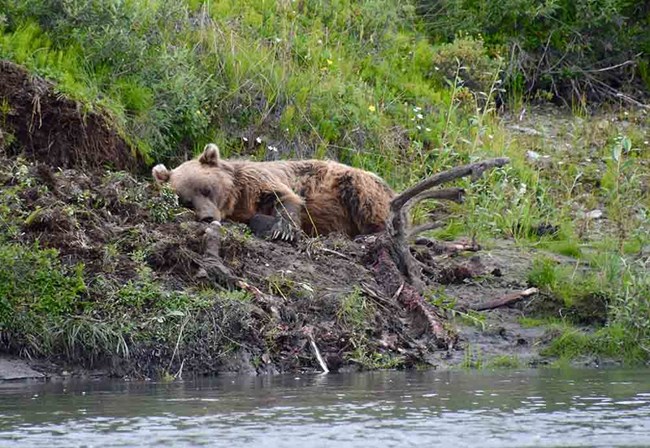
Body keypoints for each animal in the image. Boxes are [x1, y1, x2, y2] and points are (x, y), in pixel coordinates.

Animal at [152, 144, 395, 240]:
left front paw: (282, 230)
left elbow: (284, 197)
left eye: (207, 189)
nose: (207, 217)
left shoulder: (257, 181)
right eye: (186, 201)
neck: (237, 199)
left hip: (357, 183)